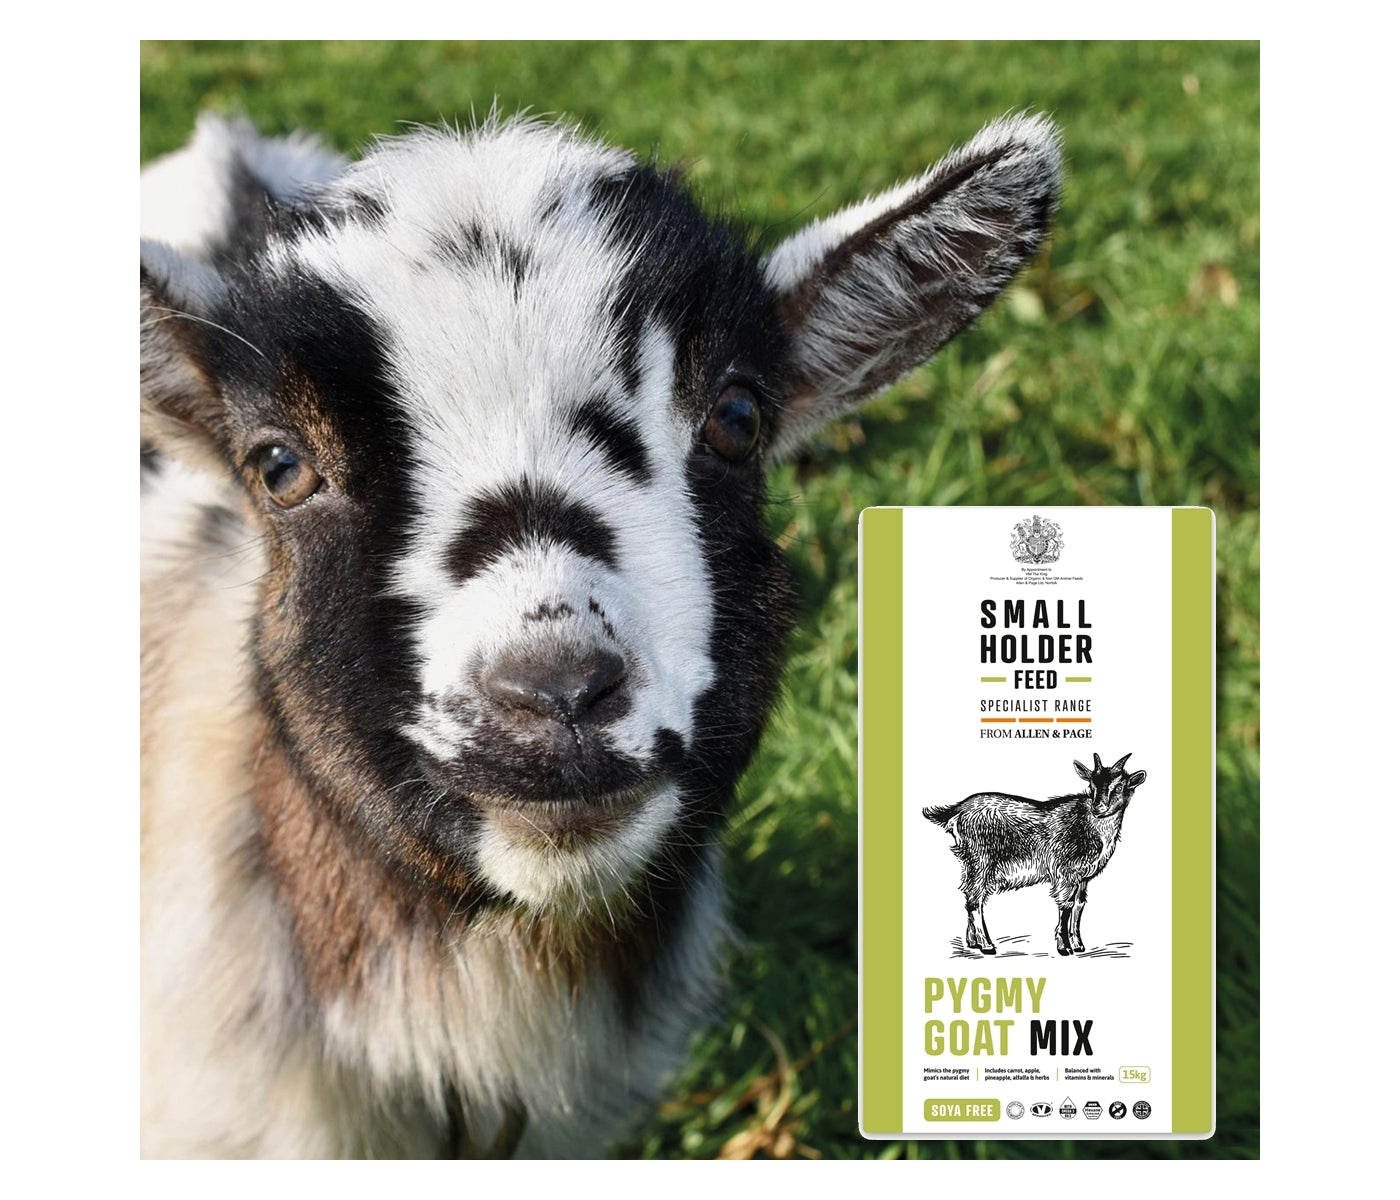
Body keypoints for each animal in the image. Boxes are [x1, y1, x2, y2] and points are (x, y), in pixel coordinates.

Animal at [922, 753, 1147, 957]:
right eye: (1092, 785)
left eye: (1119, 787)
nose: (1098, 808)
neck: (1089, 824)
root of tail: (956, 811)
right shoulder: (1065, 872)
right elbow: (1066, 905)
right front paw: (1064, 947)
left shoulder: (1083, 877)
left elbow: (1079, 905)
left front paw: (1078, 945)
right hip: (981, 859)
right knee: (975, 900)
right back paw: (987, 945)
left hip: (970, 862)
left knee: (969, 895)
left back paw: (972, 942)